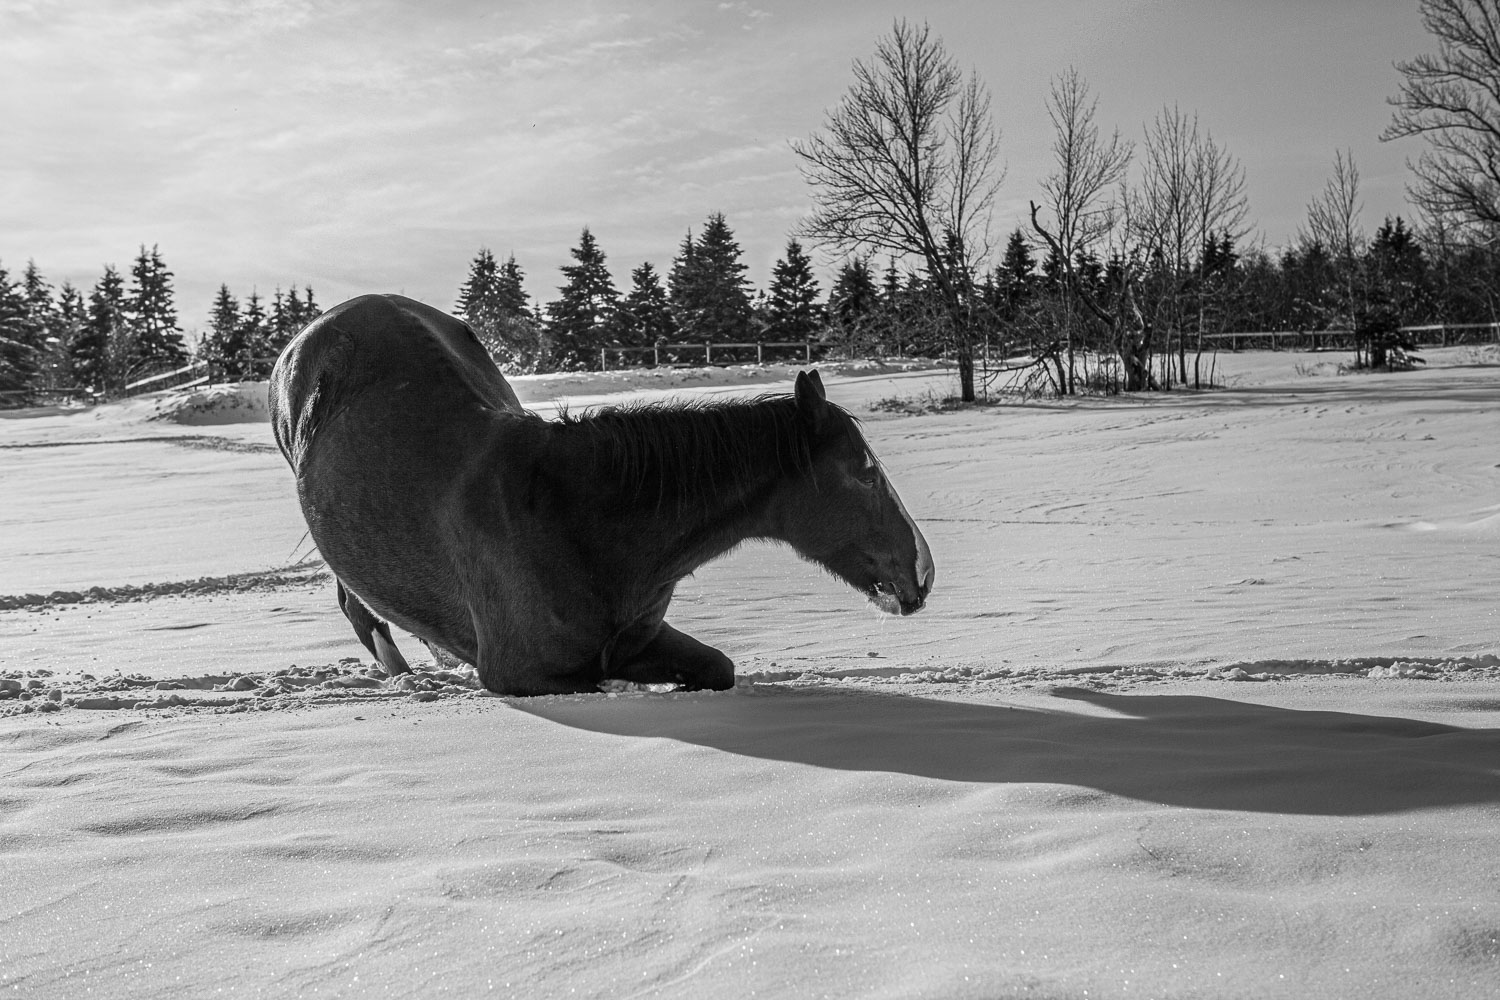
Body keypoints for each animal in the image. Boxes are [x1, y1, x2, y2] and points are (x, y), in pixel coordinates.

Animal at [264, 290, 930, 695]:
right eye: (864, 471)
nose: (922, 571)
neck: (571, 516)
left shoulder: (640, 639)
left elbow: (717, 668)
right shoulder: (521, 674)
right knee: (360, 609)